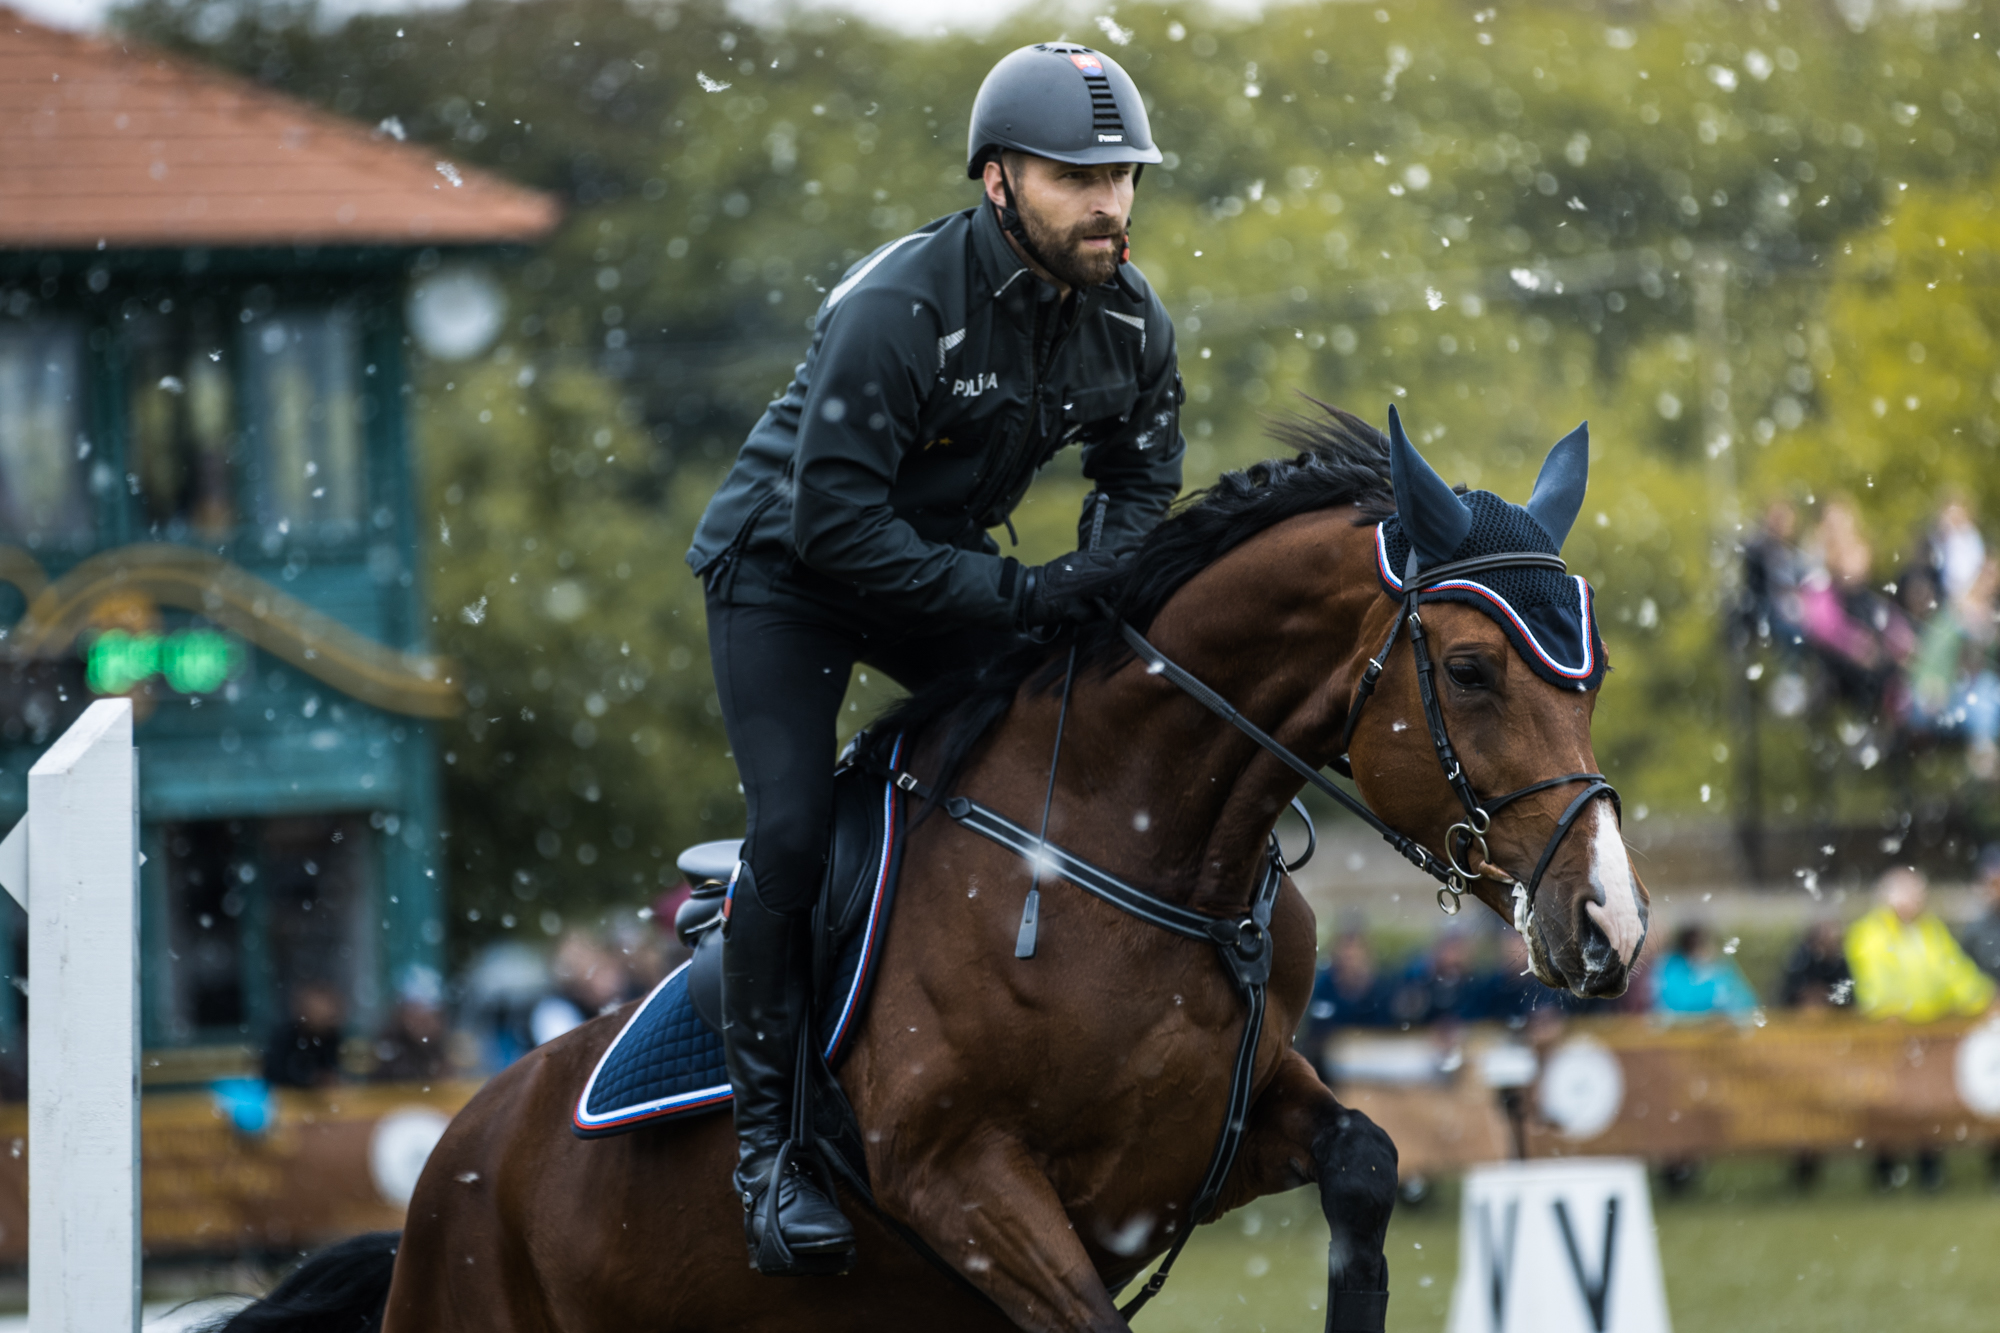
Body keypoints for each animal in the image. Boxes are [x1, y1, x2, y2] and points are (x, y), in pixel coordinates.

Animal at [227, 402, 1648, 1328]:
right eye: (1468, 668)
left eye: (1593, 675)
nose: (1612, 923)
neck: (1139, 857)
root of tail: (445, 1176)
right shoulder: (962, 1183)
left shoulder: (1207, 1139)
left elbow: (1364, 1161)